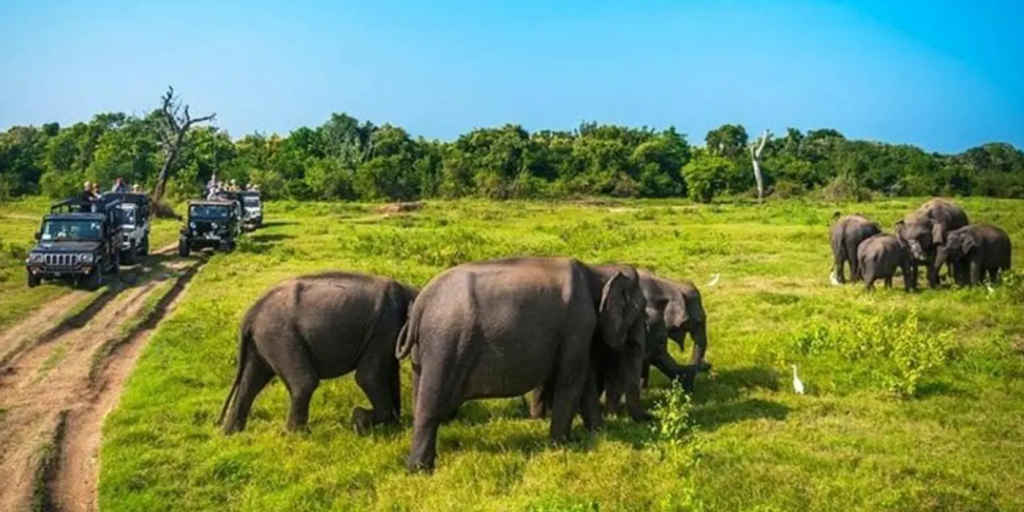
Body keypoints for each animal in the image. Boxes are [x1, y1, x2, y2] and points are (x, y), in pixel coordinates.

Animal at [218, 272, 418, 434]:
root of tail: (250, 315)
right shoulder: (385, 325)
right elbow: (367, 377)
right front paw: (358, 422)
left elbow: (390, 372)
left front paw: (394, 427)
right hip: (280, 336)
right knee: (304, 382)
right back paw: (295, 435)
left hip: (261, 342)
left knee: (251, 382)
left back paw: (231, 434)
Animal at [395, 257, 648, 472]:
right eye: (641, 311)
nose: (649, 419)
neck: (598, 269)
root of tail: (420, 304)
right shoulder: (578, 324)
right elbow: (571, 380)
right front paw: (563, 445)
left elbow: (583, 380)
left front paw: (596, 433)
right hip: (446, 343)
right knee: (430, 403)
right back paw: (420, 470)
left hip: (423, 351)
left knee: (419, 398)